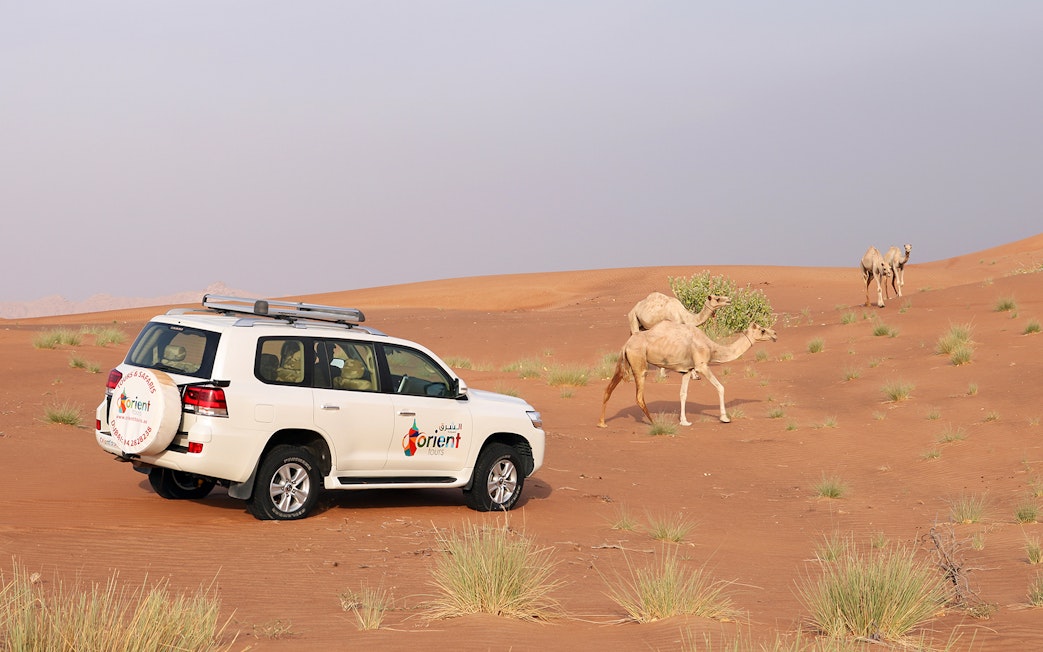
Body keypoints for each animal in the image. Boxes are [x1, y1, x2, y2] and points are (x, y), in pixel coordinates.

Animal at [597, 321, 778, 428]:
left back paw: (602, 423)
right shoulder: (702, 365)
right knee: (639, 396)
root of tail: (626, 344)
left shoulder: (687, 370)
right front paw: (725, 418)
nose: (775, 334)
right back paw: (656, 423)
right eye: (763, 330)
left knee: (608, 389)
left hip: (623, 364)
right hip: (639, 364)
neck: (711, 347)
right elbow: (720, 387)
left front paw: (684, 421)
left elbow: (683, 394)